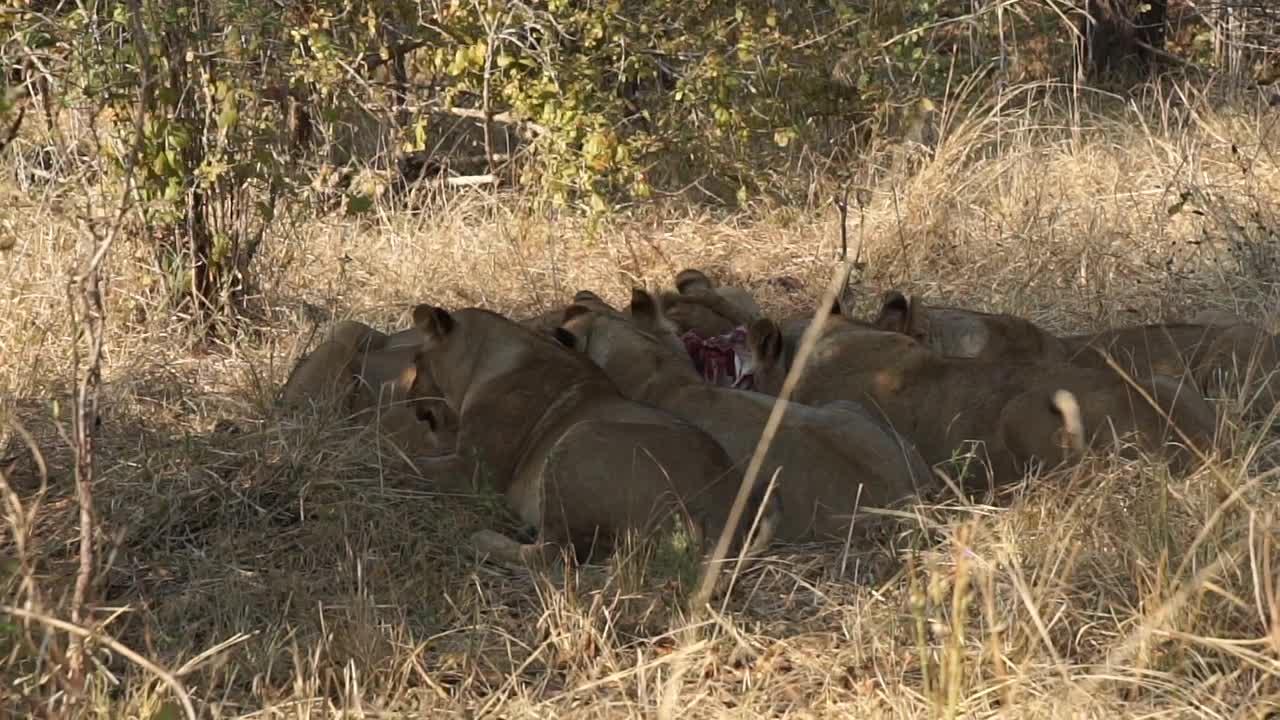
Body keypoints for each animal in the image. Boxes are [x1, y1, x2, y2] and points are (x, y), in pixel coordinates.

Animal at [409, 302, 773, 566]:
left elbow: (409, 464)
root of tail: (724, 514)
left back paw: (483, 540)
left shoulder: (473, 473)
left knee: (553, 555)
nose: (410, 401)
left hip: (578, 436)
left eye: (416, 362)